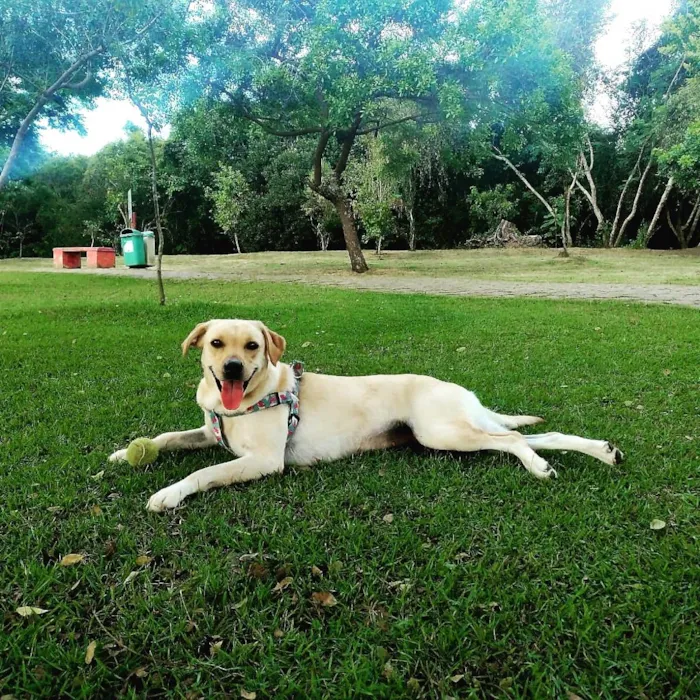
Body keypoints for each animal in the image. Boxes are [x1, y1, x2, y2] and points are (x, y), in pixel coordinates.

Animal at [109, 320, 624, 512]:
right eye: (216, 343)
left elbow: (203, 472)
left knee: (515, 442)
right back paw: (600, 453)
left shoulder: (262, 461)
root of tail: (460, 390)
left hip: (441, 432)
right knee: (540, 436)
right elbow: (170, 436)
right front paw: (123, 454)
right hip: (459, 429)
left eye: (253, 346)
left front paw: (168, 494)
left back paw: (539, 468)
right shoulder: (208, 430)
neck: (245, 402)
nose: (233, 367)